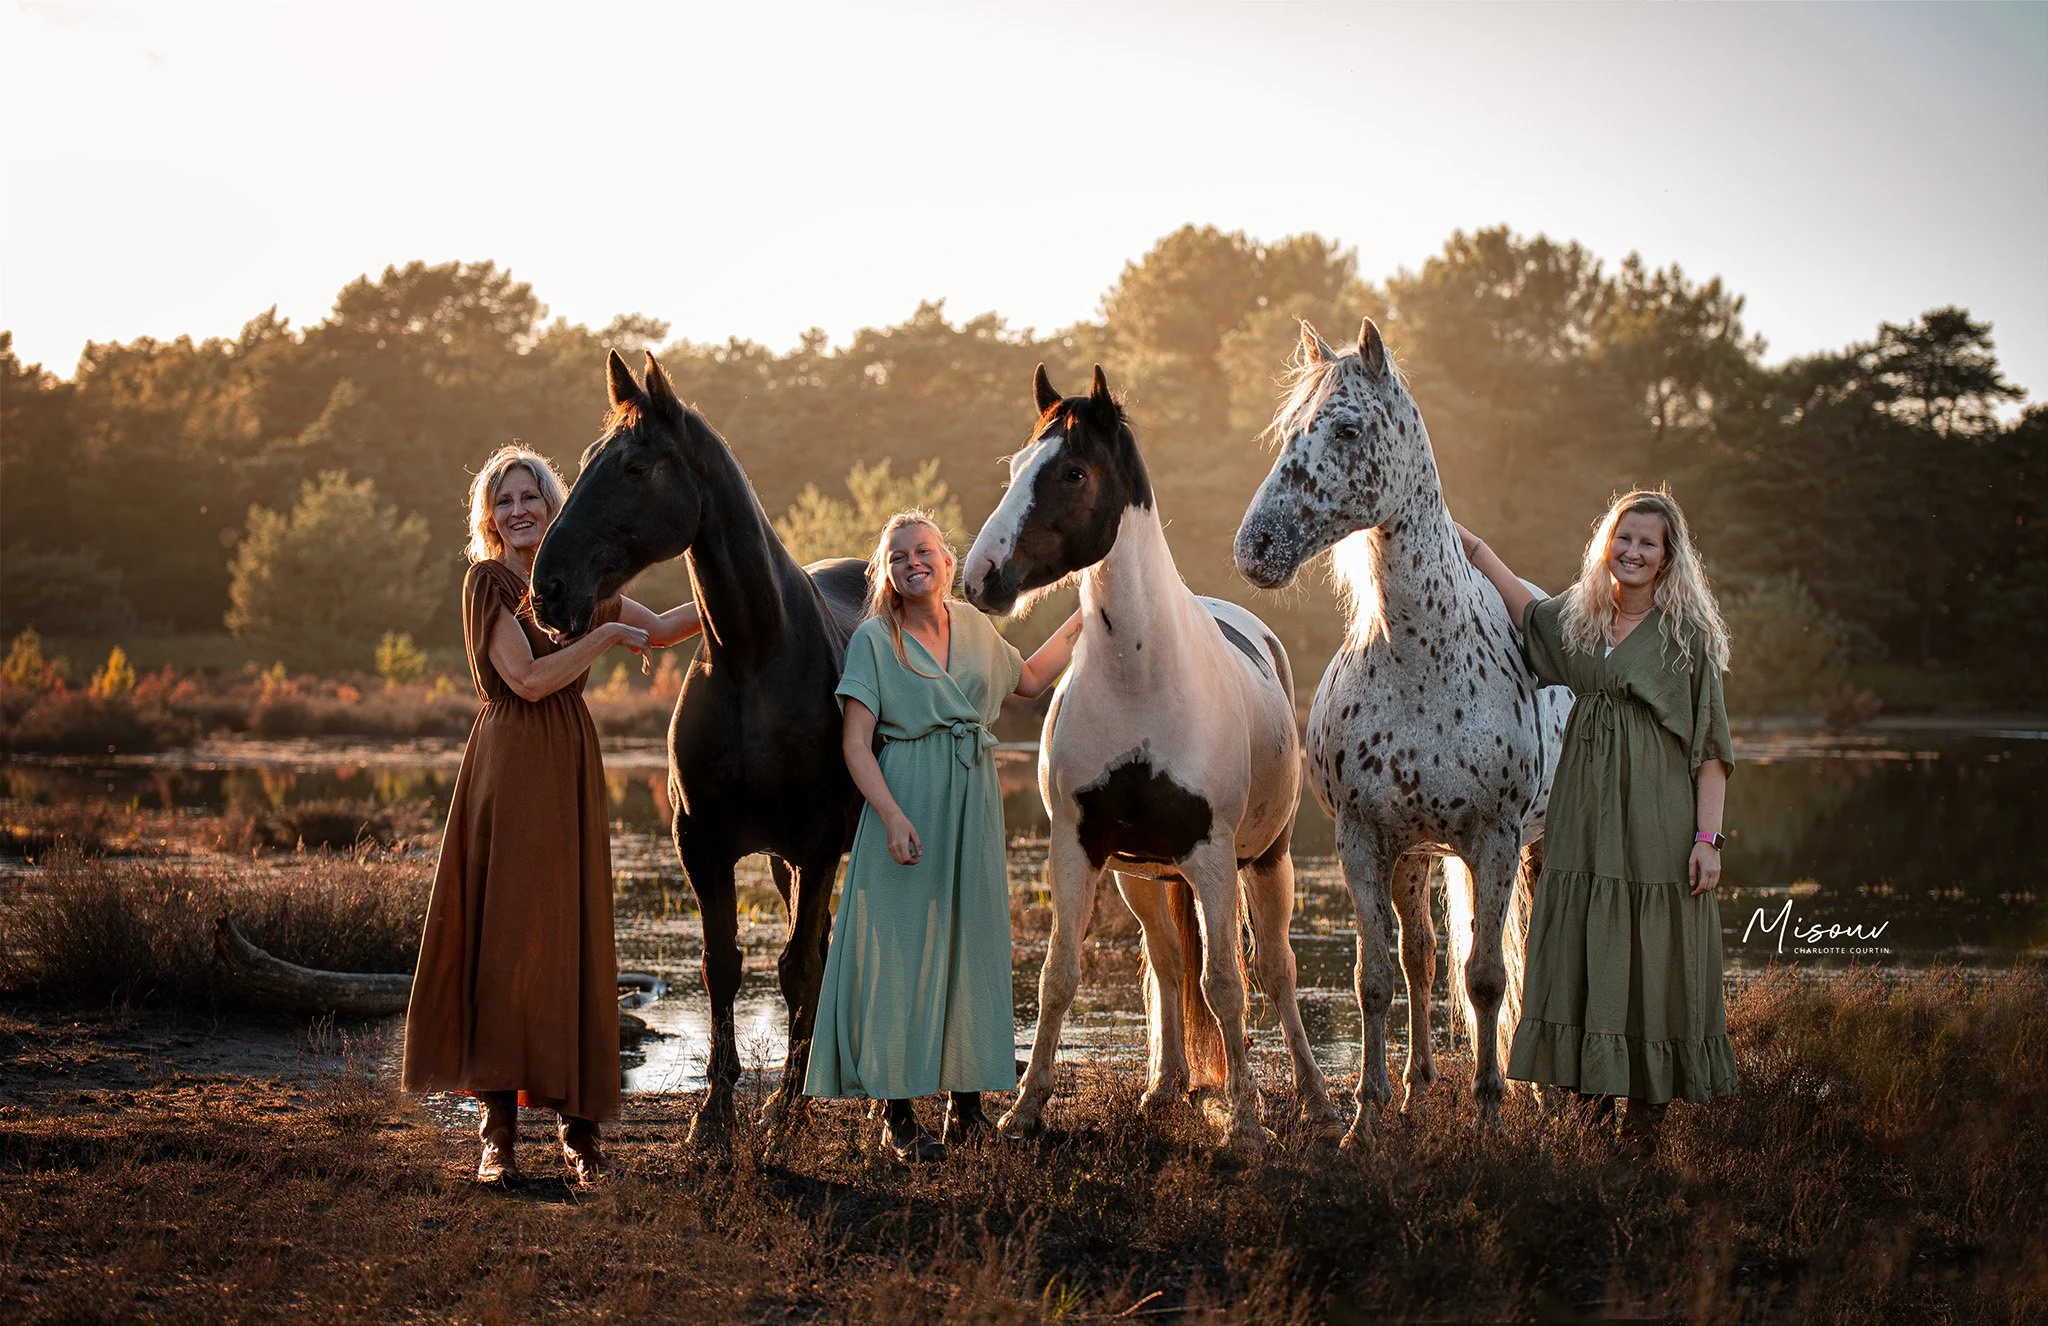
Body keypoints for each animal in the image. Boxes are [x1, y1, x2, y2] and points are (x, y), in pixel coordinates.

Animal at [531, 350, 868, 1144]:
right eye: (588, 460)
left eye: (634, 466)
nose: (548, 587)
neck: (754, 656)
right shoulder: (703, 841)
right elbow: (724, 965)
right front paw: (714, 1114)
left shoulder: (816, 841)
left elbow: (795, 968)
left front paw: (783, 1113)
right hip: (781, 860)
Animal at [963, 364, 1340, 1149]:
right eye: (1016, 467)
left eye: (1073, 471)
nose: (980, 578)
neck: (1141, 677)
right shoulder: (1078, 848)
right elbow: (1058, 976)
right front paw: (1024, 1109)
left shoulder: (1211, 856)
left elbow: (1227, 984)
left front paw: (1246, 1126)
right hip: (1142, 876)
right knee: (1166, 967)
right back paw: (1164, 1088)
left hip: (1266, 861)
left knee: (1276, 971)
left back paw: (1317, 1100)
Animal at [1232, 319, 1570, 1142]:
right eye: (1288, 431)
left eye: (1348, 429)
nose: (1255, 547)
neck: (1421, 655)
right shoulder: (1362, 842)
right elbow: (1377, 980)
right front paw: (1366, 1116)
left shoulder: (1496, 839)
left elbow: (1487, 979)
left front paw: (1491, 1115)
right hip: (1415, 854)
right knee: (1420, 957)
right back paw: (1417, 1088)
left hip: (1533, 848)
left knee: (1520, 960)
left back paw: (1540, 1096)